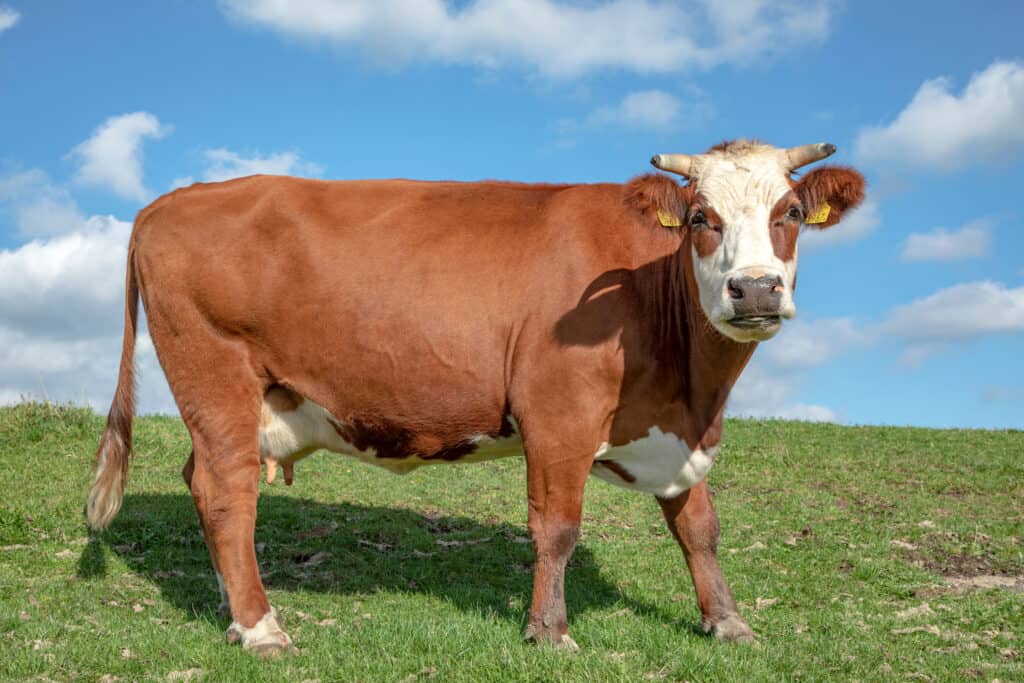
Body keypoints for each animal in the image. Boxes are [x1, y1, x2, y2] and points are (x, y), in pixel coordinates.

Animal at [86, 140, 864, 655]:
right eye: (702, 217)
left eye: (792, 211)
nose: (755, 289)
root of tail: (171, 201)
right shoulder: (559, 413)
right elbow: (557, 528)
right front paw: (550, 631)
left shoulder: (671, 429)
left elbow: (699, 526)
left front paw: (728, 621)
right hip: (215, 372)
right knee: (227, 490)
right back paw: (260, 625)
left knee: (203, 482)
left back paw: (230, 601)